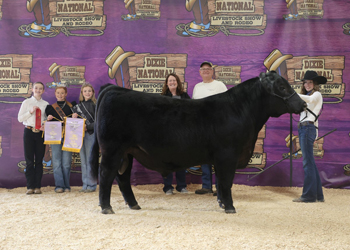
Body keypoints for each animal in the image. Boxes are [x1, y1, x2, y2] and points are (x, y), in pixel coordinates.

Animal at [90, 71, 306, 214]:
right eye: (282, 87)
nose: (303, 104)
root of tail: (114, 88)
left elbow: (221, 183)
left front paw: (222, 203)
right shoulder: (228, 155)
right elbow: (226, 182)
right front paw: (230, 207)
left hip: (128, 152)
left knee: (123, 178)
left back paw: (133, 204)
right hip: (112, 149)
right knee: (106, 174)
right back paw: (107, 207)